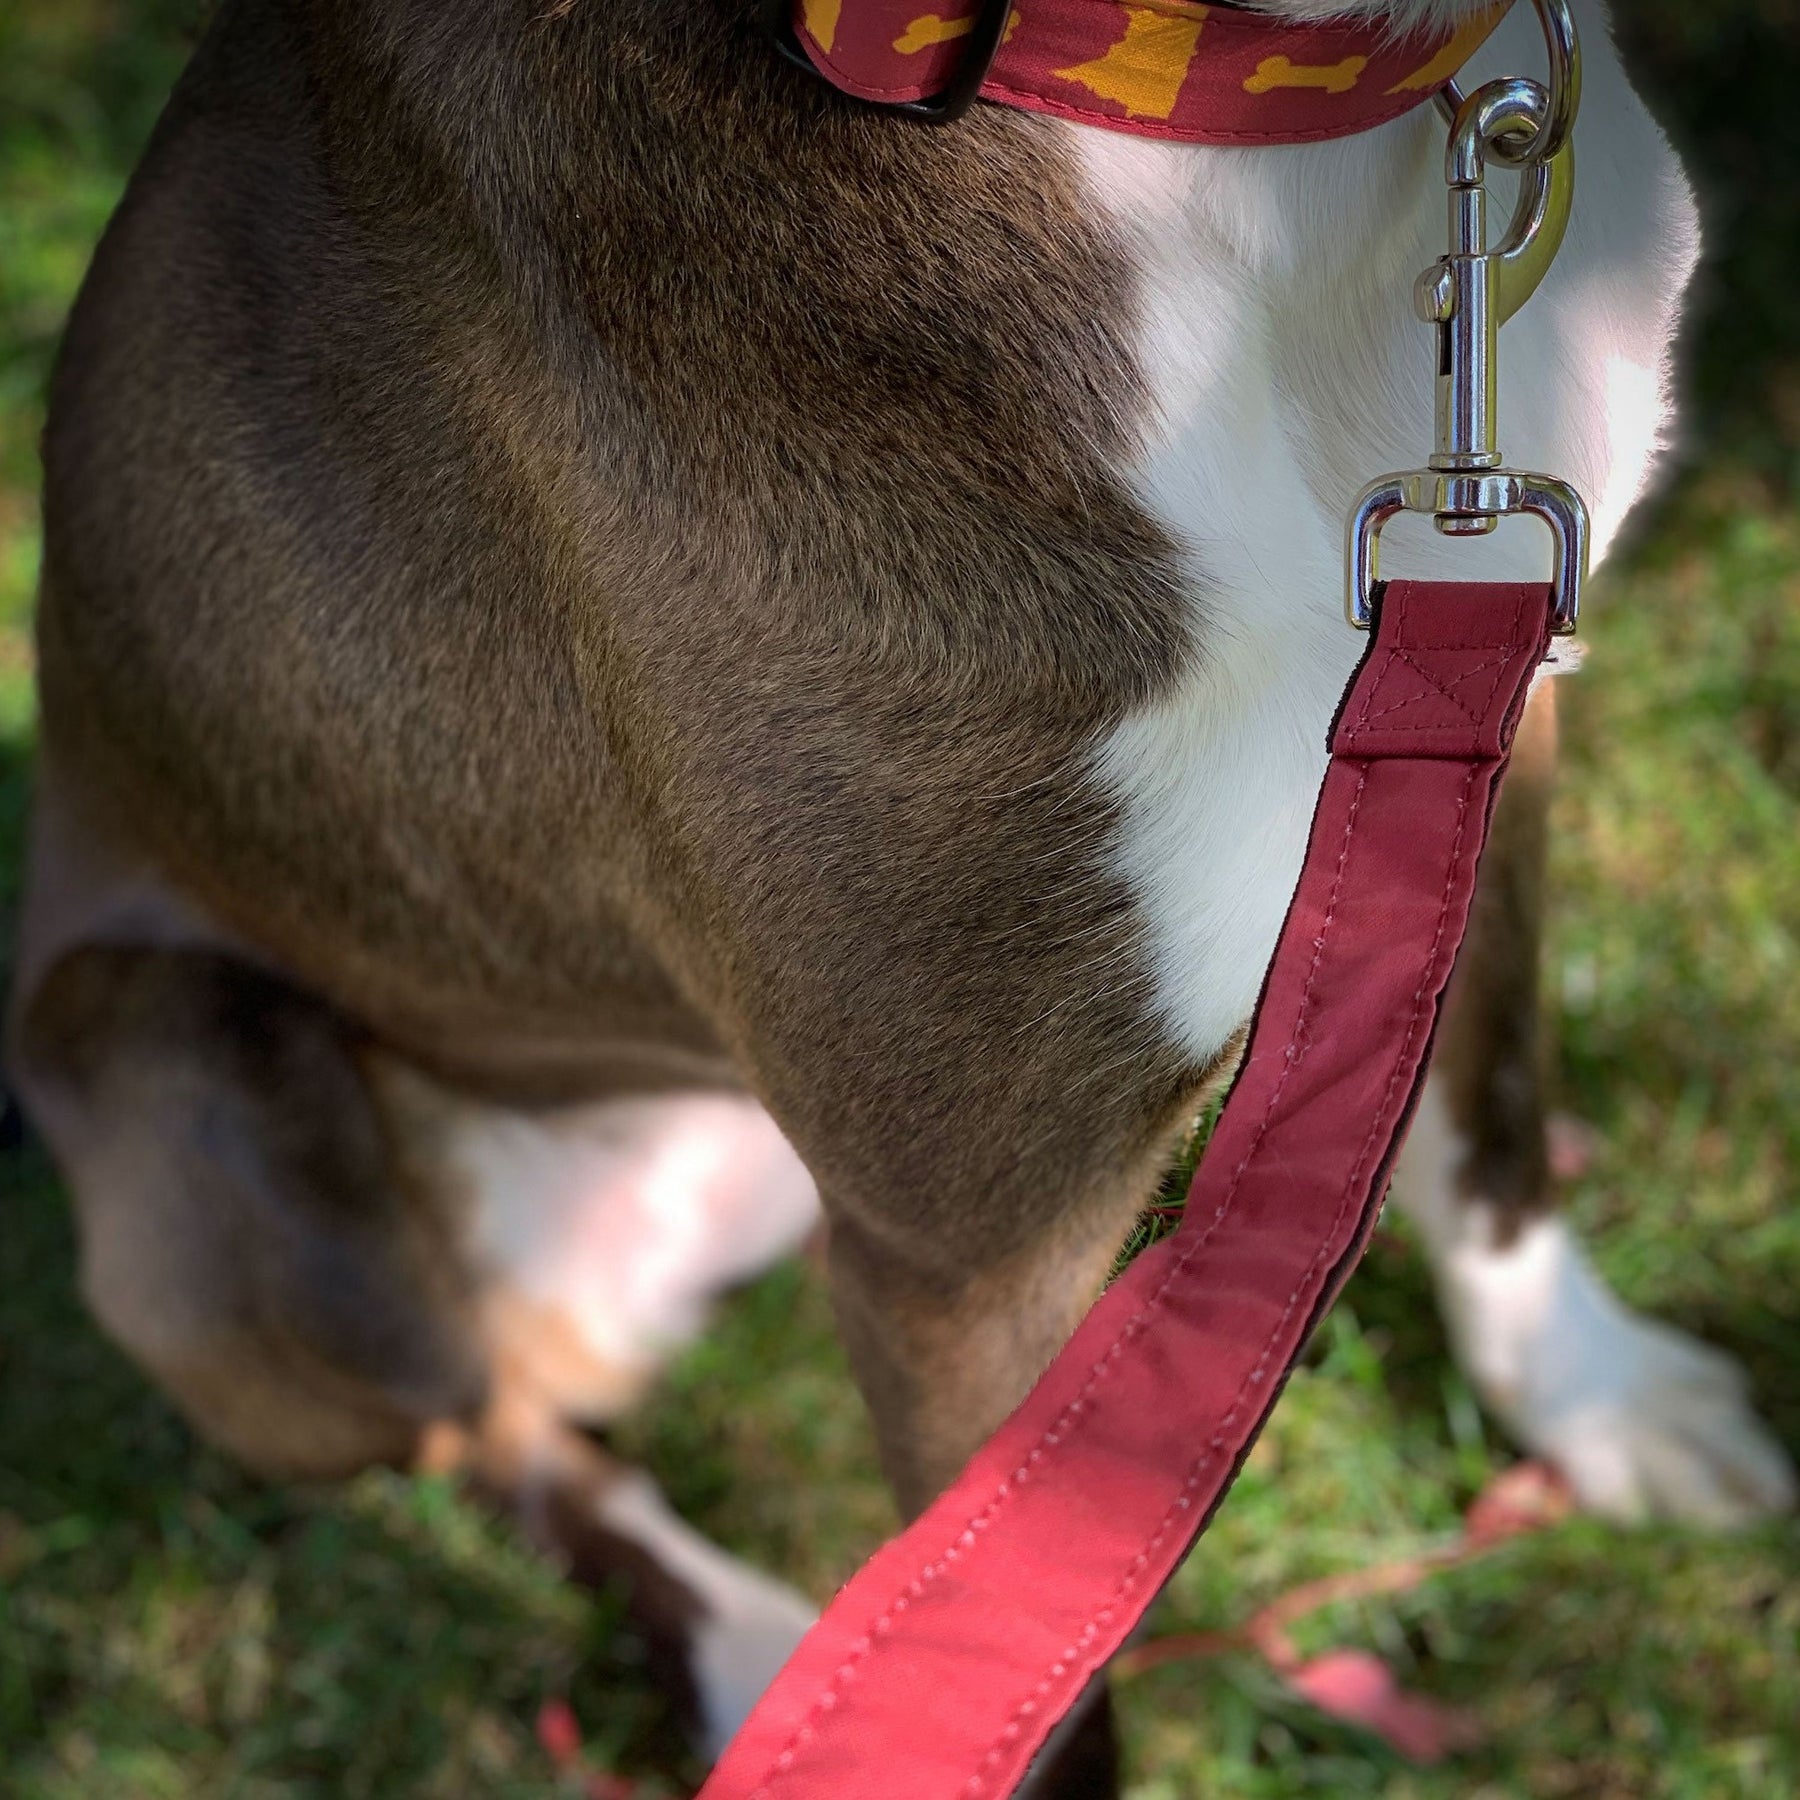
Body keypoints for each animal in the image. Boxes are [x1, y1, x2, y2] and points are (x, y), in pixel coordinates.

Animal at [11, 0, 1793, 1788]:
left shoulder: (1485, 666)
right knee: (493, 1434)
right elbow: (1015, 1662)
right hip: (180, 1106)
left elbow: (1492, 1113)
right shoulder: (981, 1250)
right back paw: (752, 1648)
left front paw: (1601, 1401)